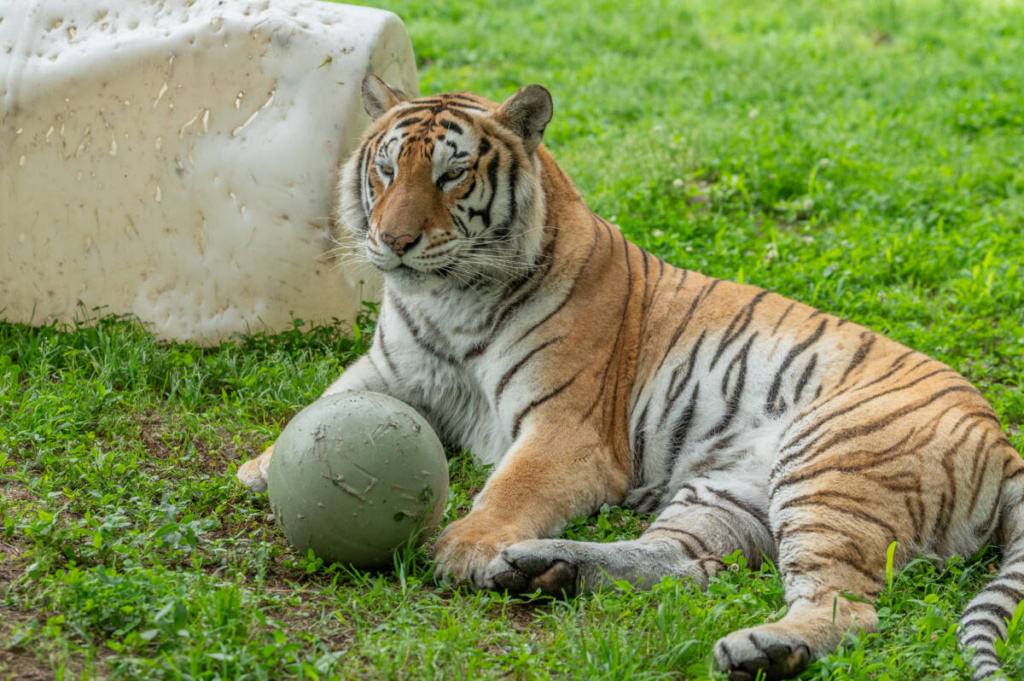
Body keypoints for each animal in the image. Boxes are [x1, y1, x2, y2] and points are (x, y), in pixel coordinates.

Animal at [237, 75, 1024, 680]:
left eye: (451, 174)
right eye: (386, 169)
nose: (393, 242)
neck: (445, 301)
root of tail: (1001, 439)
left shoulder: (564, 427)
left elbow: (513, 485)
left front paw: (467, 545)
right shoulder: (386, 370)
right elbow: (321, 405)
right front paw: (262, 466)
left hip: (831, 466)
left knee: (849, 608)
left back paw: (760, 648)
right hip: (730, 491)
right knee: (674, 560)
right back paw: (542, 568)